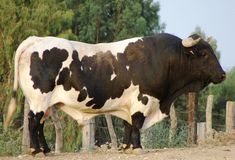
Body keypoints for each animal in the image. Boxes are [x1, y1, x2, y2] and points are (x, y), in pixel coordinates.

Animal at [4, 32, 224, 155]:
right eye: (204, 54)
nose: (222, 74)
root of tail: (35, 40)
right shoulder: (143, 100)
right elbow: (136, 124)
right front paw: (137, 148)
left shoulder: (130, 103)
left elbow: (128, 124)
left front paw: (126, 147)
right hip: (39, 100)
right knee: (33, 122)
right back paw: (36, 150)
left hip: (44, 103)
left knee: (39, 124)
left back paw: (45, 149)